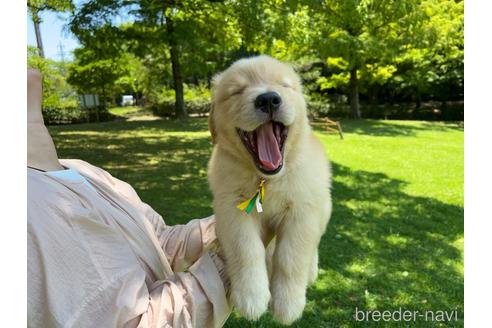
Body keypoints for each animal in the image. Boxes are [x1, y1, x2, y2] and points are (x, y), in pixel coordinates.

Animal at [206, 55, 332, 324]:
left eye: (284, 85)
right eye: (237, 91)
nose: (268, 99)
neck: (266, 179)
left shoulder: (304, 211)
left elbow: (291, 257)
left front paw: (288, 304)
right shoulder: (232, 208)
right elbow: (245, 248)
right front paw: (251, 297)